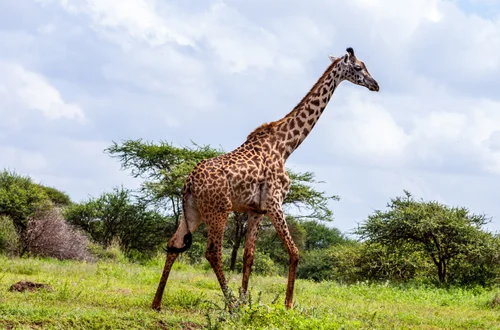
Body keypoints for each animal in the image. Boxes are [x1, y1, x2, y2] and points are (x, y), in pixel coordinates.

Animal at [152, 47, 378, 310]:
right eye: (359, 67)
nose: (375, 85)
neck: (286, 146)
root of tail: (188, 182)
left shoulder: (256, 210)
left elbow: (248, 256)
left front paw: (246, 301)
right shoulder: (274, 202)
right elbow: (294, 252)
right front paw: (287, 305)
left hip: (193, 210)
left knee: (174, 244)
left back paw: (157, 302)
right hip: (219, 210)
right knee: (212, 252)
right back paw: (230, 305)